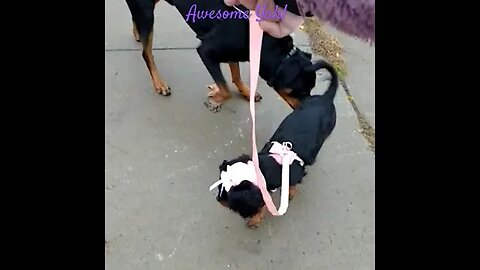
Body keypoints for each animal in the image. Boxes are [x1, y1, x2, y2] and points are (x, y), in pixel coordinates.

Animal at [124, 0, 326, 112]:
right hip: (146, 11)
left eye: (311, 89)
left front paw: (245, 92)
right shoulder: (206, 51)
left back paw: (136, 34)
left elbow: (235, 73)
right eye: (301, 91)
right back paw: (159, 83)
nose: (309, 109)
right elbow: (226, 89)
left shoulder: (233, 52)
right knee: (146, 52)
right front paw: (216, 98)